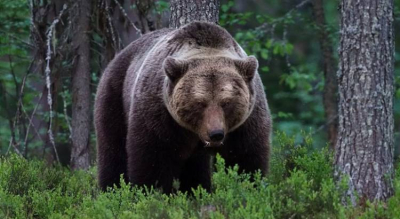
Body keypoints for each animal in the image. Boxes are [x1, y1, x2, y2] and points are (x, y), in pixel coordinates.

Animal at [94, 21, 272, 193]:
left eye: (226, 102)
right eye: (200, 102)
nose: (216, 134)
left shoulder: (247, 121)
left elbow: (247, 158)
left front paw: (249, 185)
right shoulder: (160, 114)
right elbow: (153, 159)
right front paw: (150, 192)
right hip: (115, 94)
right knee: (113, 149)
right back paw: (111, 189)